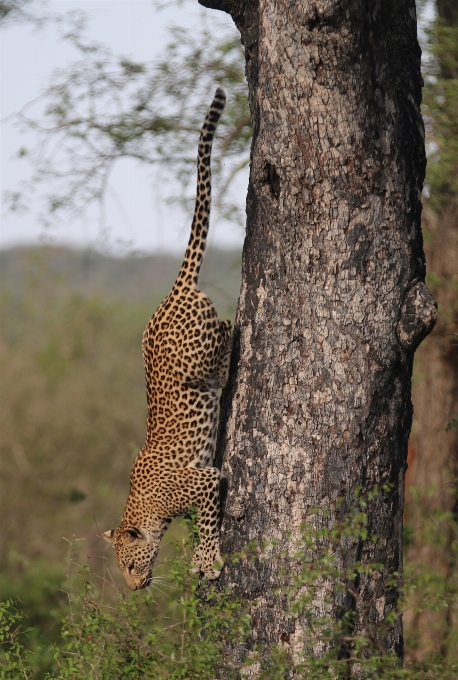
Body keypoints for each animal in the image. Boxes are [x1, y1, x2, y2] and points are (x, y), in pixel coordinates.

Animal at [104, 89, 233, 588]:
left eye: (129, 565)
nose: (134, 590)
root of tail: (172, 292)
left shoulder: (208, 479)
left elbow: (209, 521)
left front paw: (207, 560)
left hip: (200, 354)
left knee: (228, 330)